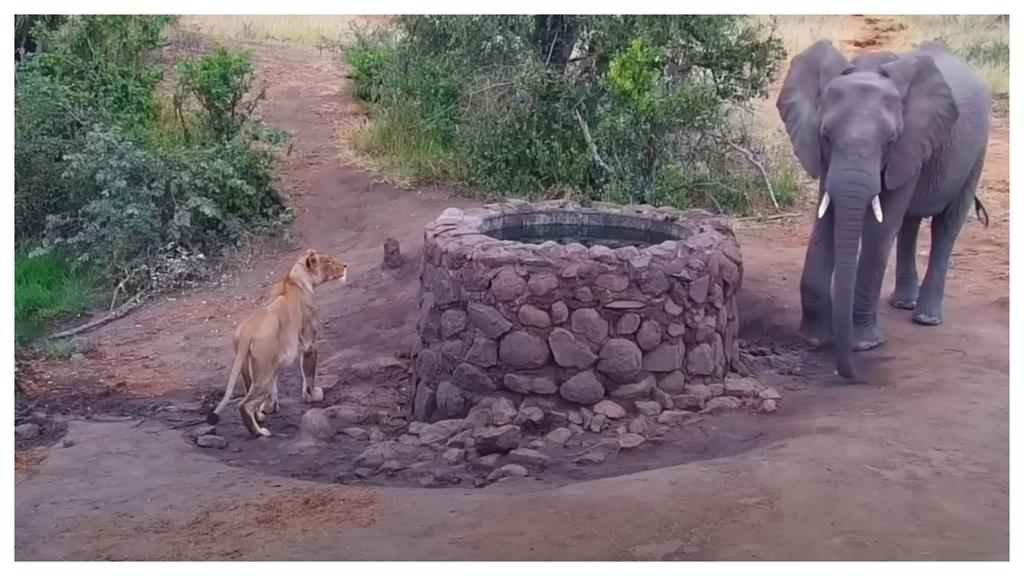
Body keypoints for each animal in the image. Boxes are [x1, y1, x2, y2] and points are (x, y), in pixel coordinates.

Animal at [774, 41, 991, 381]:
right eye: (825, 136)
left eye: (890, 140)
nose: (848, 374)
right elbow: (827, 218)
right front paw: (814, 339)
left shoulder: (911, 140)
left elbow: (880, 228)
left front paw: (865, 345)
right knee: (909, 223)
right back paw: (903, 304)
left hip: (977, 150)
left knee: (945, 225)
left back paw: (926, 318)